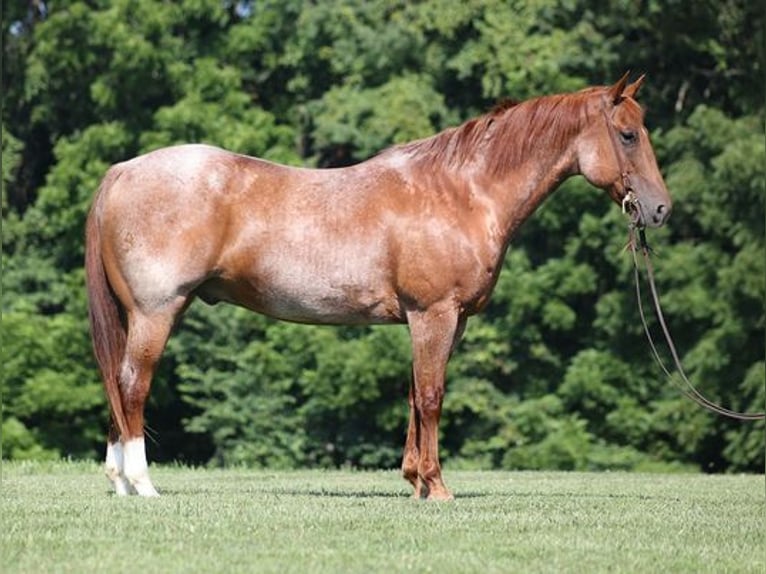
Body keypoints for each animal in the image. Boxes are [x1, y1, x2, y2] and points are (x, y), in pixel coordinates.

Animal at [85, 74, 672, 502]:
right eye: (627, 134)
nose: (660, 209)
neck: (463, 192)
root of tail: (123, 171)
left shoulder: (439, 321)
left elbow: (415, 394)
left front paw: (414, 481)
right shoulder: (434, 314)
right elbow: (432, 396)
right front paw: (436, 487)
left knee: (116, 382)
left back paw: (120, 485)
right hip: (157, 313)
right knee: (133, 385)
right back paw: (143, 485)